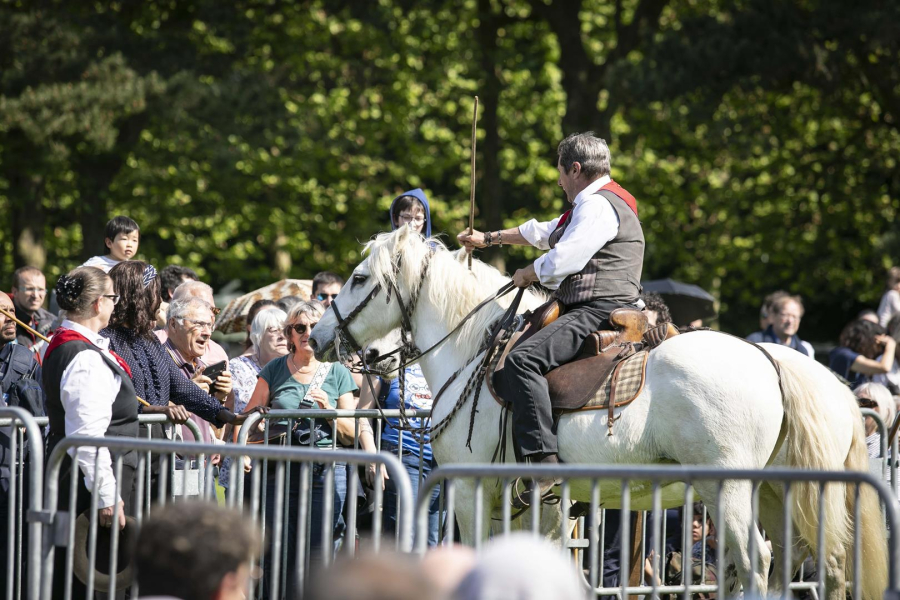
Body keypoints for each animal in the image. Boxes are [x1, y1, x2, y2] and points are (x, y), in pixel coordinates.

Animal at [310, 227, 884, 596]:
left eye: (359, 278)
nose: (317, 337)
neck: (476, 349)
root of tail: (770, 358)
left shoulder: (474, 490)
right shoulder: (537, 504)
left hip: (732, 489)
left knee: (756, 563)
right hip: (776, 492)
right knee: (806, 563)